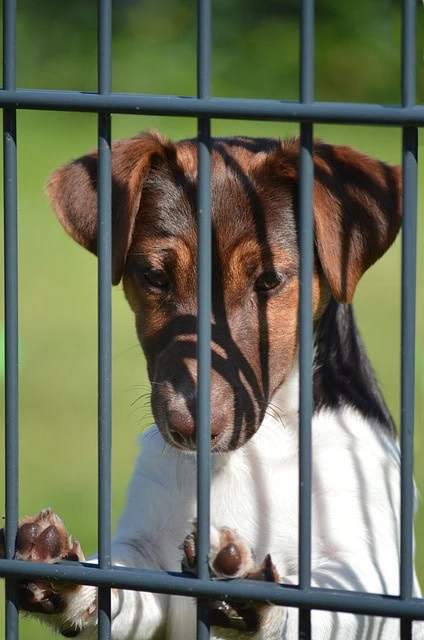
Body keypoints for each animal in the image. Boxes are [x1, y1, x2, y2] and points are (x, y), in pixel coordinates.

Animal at [1, 132, 422, 636]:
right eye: (154, 276)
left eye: (269, 279)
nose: (190, 428)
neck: (246, 456)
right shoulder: (151, 558)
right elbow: (119, 581)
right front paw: (65, 577)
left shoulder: (364, 566)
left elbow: (318, 604)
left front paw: (253, 598)